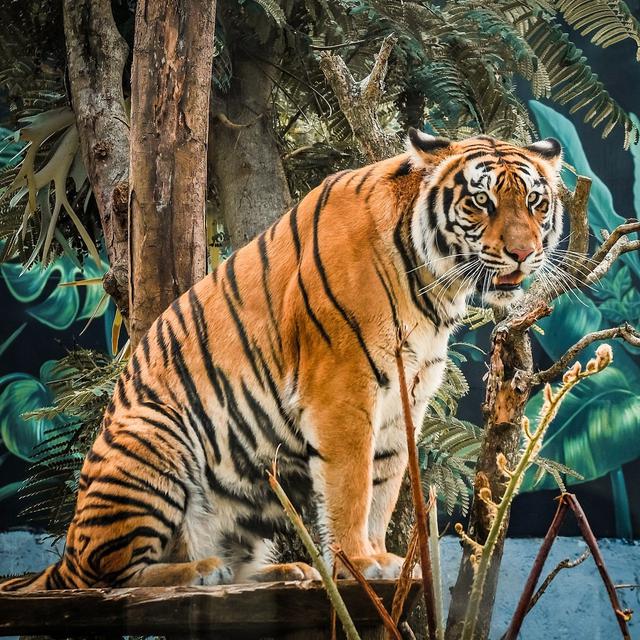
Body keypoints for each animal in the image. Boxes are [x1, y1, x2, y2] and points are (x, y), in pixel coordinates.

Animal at [1, 128, 563, 591]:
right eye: (482, 202)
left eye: (535, 203)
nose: (523, 253)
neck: (434, 286)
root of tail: (64, 555)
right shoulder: (343, 388)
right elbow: (352, 486)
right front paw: (360, 562)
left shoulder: (407, 395)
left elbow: (383, 486)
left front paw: (380, 558)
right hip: (152, 439)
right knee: (107, 576)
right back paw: (202, 571)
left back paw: (286, 570)